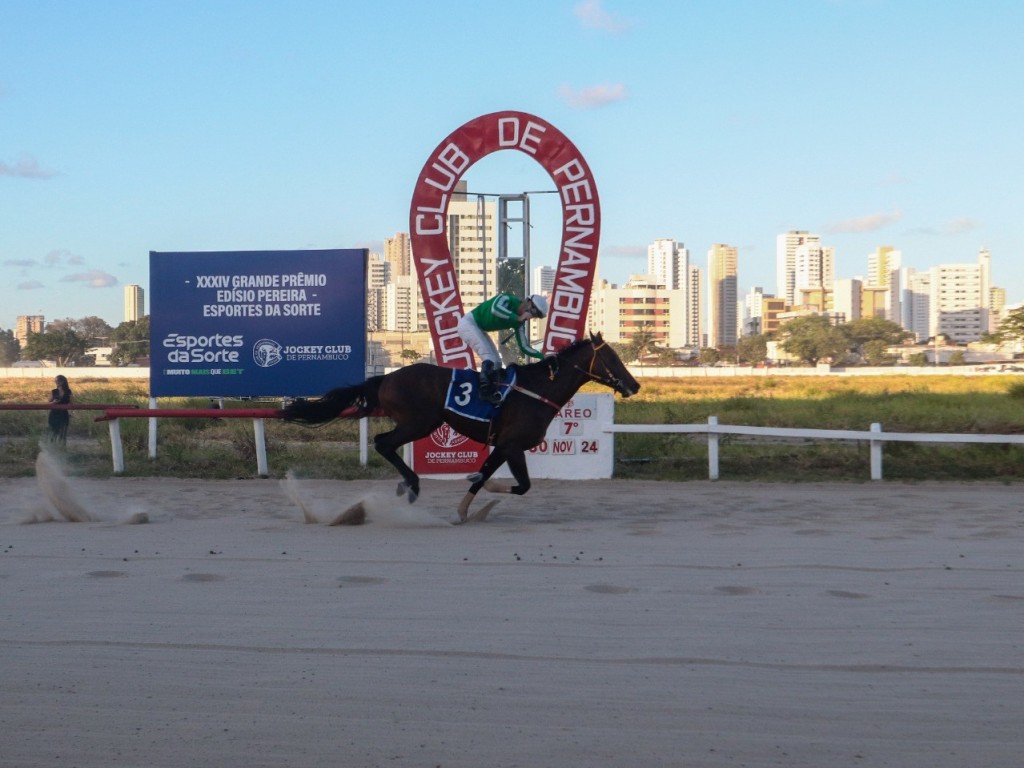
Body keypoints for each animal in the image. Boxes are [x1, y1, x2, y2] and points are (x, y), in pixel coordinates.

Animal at [280, 331, 638, 524]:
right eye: (612, 358)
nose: (634, 385)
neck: (538, 390)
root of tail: (386, 377)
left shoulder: (506, 446)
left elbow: (498, 479)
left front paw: (470, 504)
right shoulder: (511, 445)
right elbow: (513, 483)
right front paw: (475, 500)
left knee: (385, 443)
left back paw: (405, 486)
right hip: (420, 421)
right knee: (383, 442)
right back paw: (411, 485)